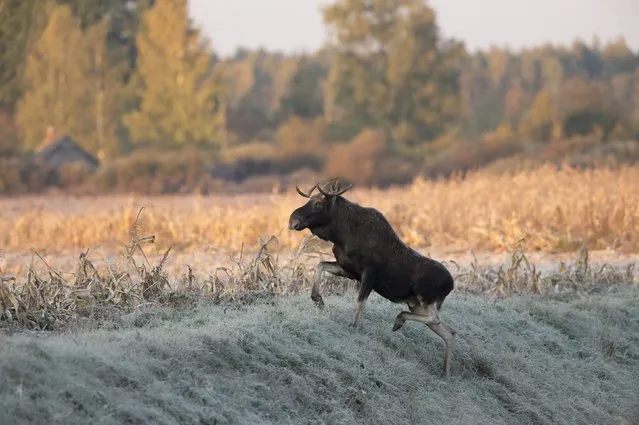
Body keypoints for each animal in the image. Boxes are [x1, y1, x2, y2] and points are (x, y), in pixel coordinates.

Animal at [288, 177, 458, 376]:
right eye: (310, 199)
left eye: (318, 203)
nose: (292, 220)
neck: (341, 235)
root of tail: (451, 284)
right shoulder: (349, 269)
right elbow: (320, 265)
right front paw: (318, 299)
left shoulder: (369, 272)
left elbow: (360, 301)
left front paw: (354, 326)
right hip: (417, 304)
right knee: (449, 332)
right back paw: (445, 372)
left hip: (425, 298)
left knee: (436, 320)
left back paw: (399, 320)